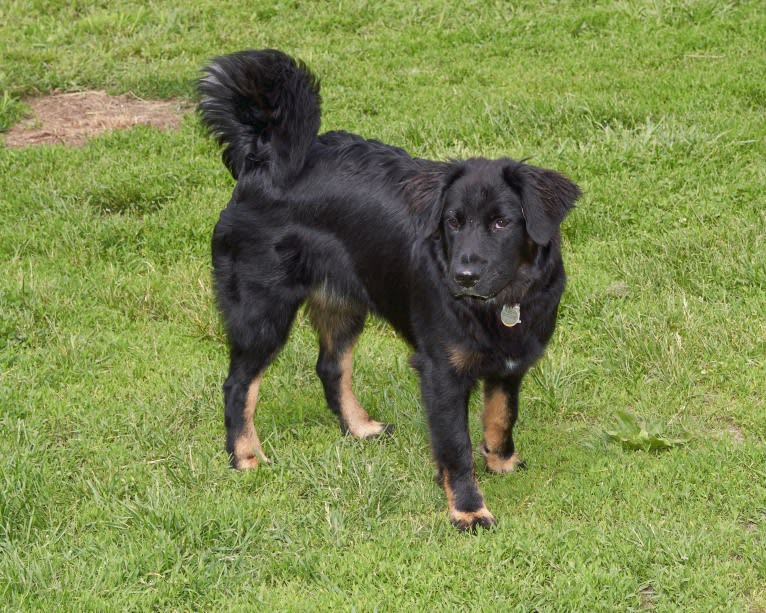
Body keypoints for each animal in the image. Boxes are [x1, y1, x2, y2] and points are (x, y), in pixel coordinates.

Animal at [200, 50, 584, 532]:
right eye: (452, 222)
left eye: (502, 222)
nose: (463, 276)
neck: (501, 301)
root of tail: (262, 159)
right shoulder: (441, 371)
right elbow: (455, 446)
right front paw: (468, 508)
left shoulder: (510, 363)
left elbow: (501, 416)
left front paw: (501, 461)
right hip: (262, 310)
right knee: (238, 384)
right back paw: (245, 455)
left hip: (342, 301)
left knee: (331, 367)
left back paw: (359, 427)